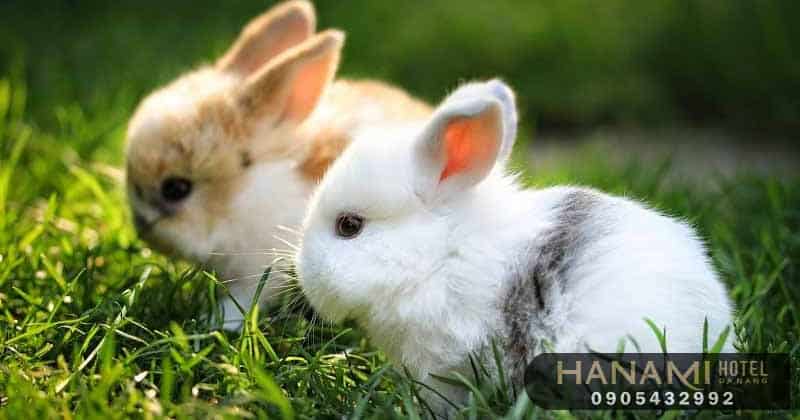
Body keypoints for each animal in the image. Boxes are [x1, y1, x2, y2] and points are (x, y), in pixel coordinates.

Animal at [125, 0, 431, 330]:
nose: (142, 229)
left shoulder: (261, 269)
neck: (246, 192)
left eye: (176, 188)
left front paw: (214, 323)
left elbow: (244, 299)